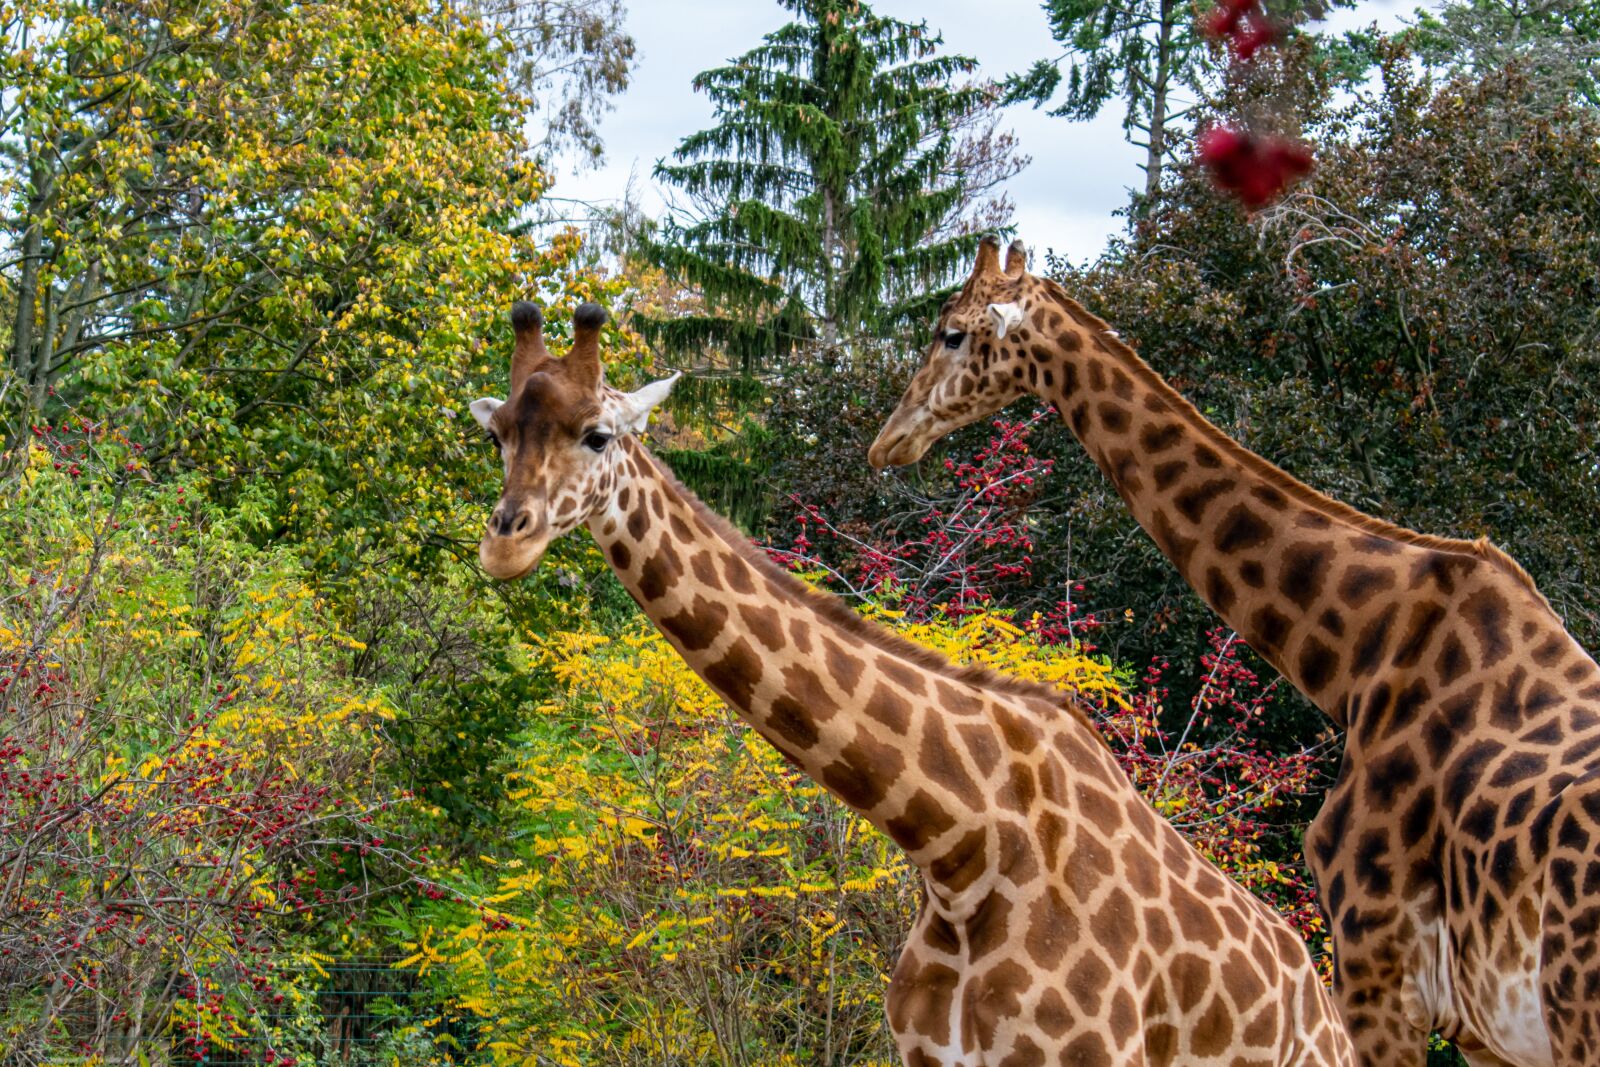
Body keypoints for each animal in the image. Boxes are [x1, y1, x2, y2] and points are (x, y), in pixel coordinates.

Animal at [867, 236, 1600, 1067]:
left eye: (951, 332)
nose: (886, 442)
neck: (1360, 649)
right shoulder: (1480, 1025)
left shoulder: (1379, 959)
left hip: (1572, 1011)